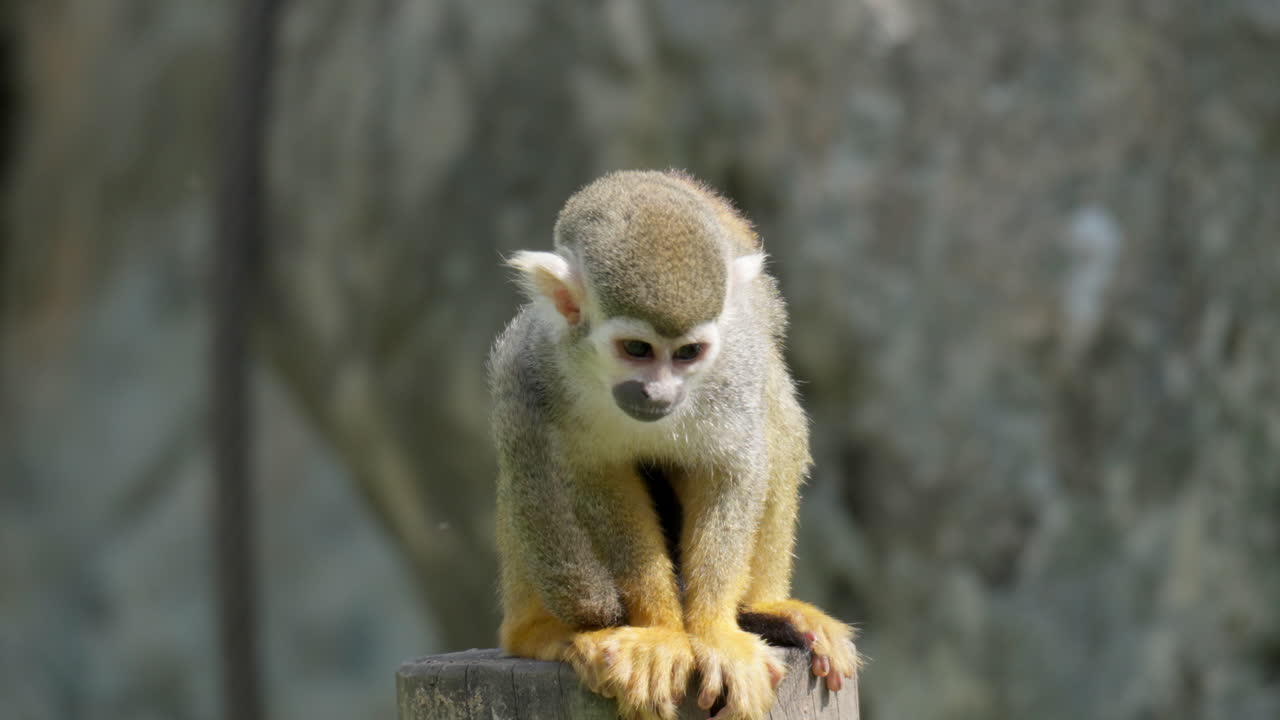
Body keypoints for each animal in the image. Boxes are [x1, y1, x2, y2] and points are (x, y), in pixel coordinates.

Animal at [489, 170, 861, 720]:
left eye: (688, 353)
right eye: (636, 349)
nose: (658, 393)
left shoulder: (734, 367)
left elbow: (733, 468)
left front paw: (712, 632)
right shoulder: (542, 365)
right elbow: (595, 476)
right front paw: (661, 632)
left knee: (777, 407)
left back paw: (765, 607)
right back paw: (538, 632)